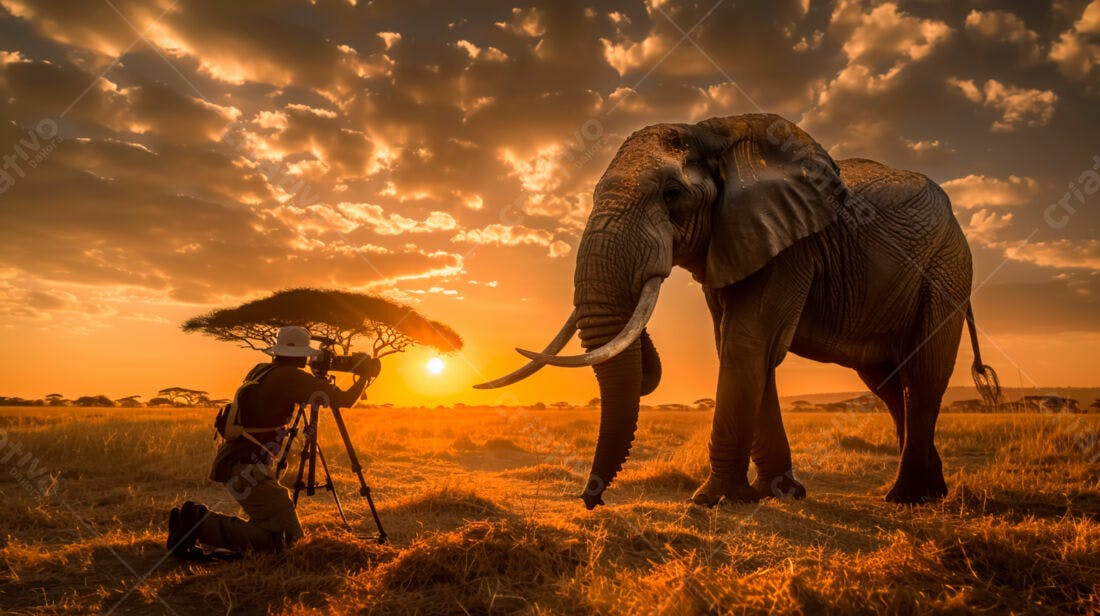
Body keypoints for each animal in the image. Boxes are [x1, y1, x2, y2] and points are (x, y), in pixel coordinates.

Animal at [477, 114, 1000, 509]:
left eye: (671, 195)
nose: (591, 500)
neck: (713, 133)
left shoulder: (789, 243)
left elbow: (746, 343)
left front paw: (714, 501)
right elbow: (740, 345)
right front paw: (778, 494)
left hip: (949, 267)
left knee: (923, 371)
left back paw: (907, 498)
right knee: (889, 383)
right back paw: (931, 491)